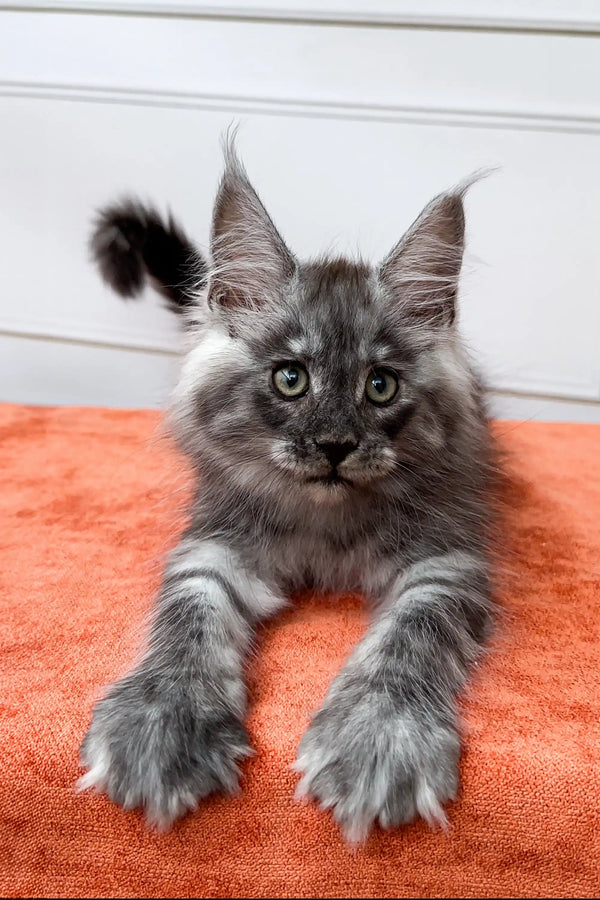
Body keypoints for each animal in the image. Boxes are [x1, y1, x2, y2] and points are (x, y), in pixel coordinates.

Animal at [82, 146, 500, 844]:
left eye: (380, 386)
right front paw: (162, 719)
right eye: (290, 378)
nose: (334, 445)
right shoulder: (214, 544)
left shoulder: (446, 561)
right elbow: (188, 618)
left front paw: (379, 739)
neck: (323, 527)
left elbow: (409, 640)